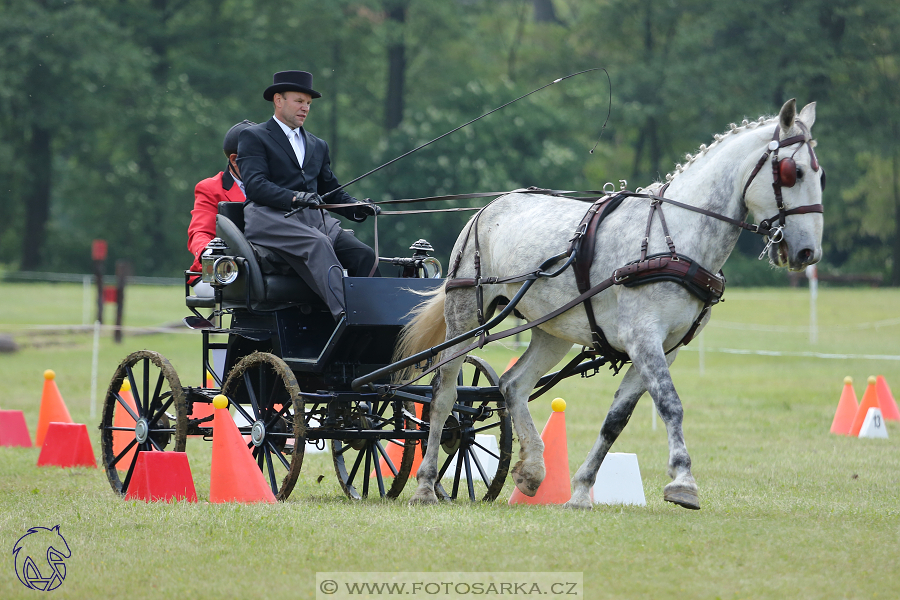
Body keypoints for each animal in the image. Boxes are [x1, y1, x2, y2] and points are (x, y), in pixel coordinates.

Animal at [400, 99, 824, 510]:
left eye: (820, 176)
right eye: (793, 172)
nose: (808, 252)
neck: (676, 238)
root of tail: (487, 208)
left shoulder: (665, 347)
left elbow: (616, 420)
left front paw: (580, 491)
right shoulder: (643, 338)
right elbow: (670, 404)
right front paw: (683, 481)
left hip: (552, 330)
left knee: (512, 384)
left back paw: (533, 470)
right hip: (465, 320)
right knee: (444, 394)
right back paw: (425, 485)